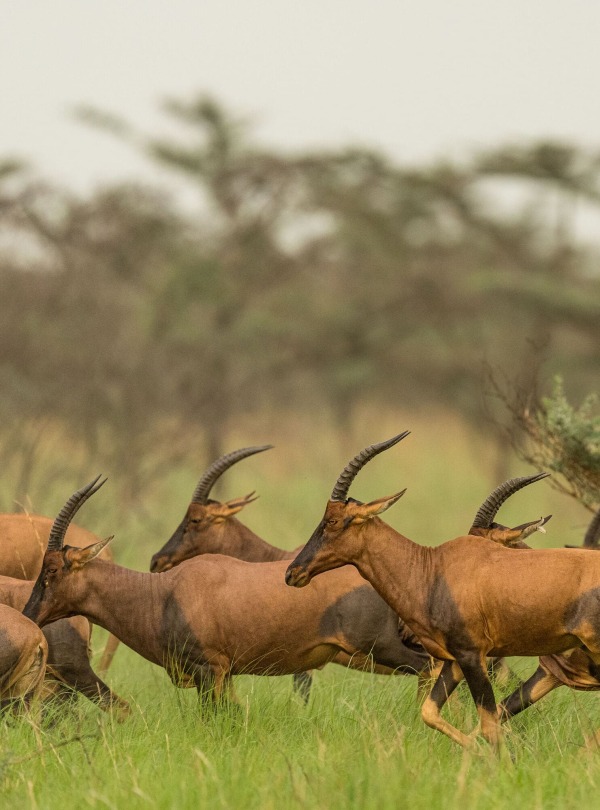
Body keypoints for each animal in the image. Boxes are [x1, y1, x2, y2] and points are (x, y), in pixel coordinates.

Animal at [22, 480, 432, 708]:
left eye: (52, 570)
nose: (28, 616)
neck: (163, 593)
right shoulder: (225, 675)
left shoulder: (207, 672)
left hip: (383, 648)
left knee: (430, 668)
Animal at [282, 432, 600, 748]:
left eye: (332, 521)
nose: (292, 573)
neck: (431, 570)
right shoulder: (457, 659)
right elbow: (433, 713)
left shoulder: (472, 655)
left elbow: (489, 725)